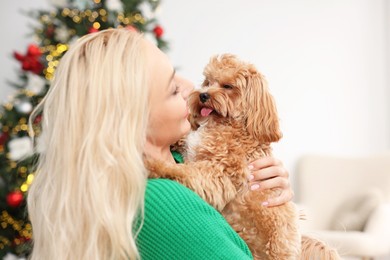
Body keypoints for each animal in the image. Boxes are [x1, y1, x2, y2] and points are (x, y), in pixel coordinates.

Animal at [145, 53, 338, 258]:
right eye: (208, 81)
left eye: (228, 86)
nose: (203, 95)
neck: (223, 123)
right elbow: (184, 140)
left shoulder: (219, 174)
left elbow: (184, 171)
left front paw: (153, 165)